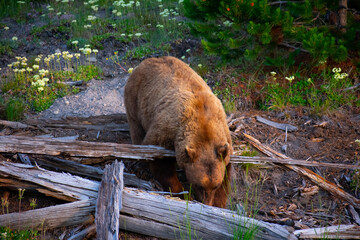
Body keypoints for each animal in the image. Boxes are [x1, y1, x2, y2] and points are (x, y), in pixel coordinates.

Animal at [124, 56, 233, 208]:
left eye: (215, 186)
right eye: (199, 185)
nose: (206, 202)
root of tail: (146, 61)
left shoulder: (223, 133)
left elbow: (226, 170)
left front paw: (218, 202)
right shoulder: (168, 130)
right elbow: (161, 162)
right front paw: (183, 193)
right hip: (135, 99)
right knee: (137, 130)